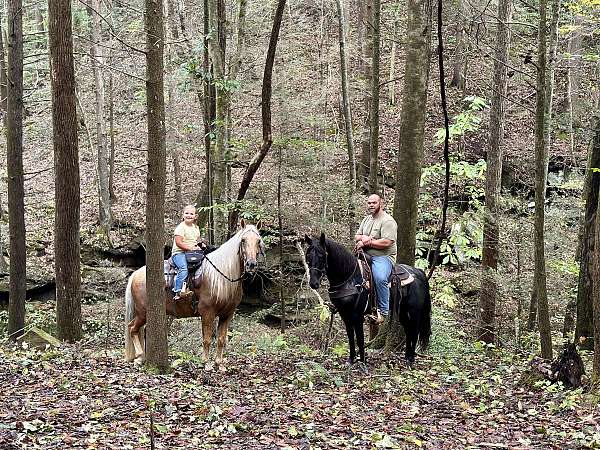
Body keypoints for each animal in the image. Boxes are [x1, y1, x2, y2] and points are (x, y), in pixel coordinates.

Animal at [125, 220, 264, 370]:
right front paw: (206, 363)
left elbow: (221, 339)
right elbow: (207, 339)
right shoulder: (207, 312)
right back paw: (140, 357)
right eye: (243, 240)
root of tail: (136, 274)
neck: (222, 277)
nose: (251, 264)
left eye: (258, 241)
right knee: (132, 328)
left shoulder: (227, 314)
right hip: (142, 312)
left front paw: (219, 364)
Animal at [304, 234, 432, 364]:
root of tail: (419, 272)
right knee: (408, 331)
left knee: (414, 331)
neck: (349, 278)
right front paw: (351, 359)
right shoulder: (344, 314)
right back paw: (406, 357)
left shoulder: (357, 314)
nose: (313, 283)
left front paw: (362, 361)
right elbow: (350, 336)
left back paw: (411, 359)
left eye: (322, 256)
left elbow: (360, 339)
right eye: (308, 256)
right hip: (403, 312)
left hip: (414, 311)